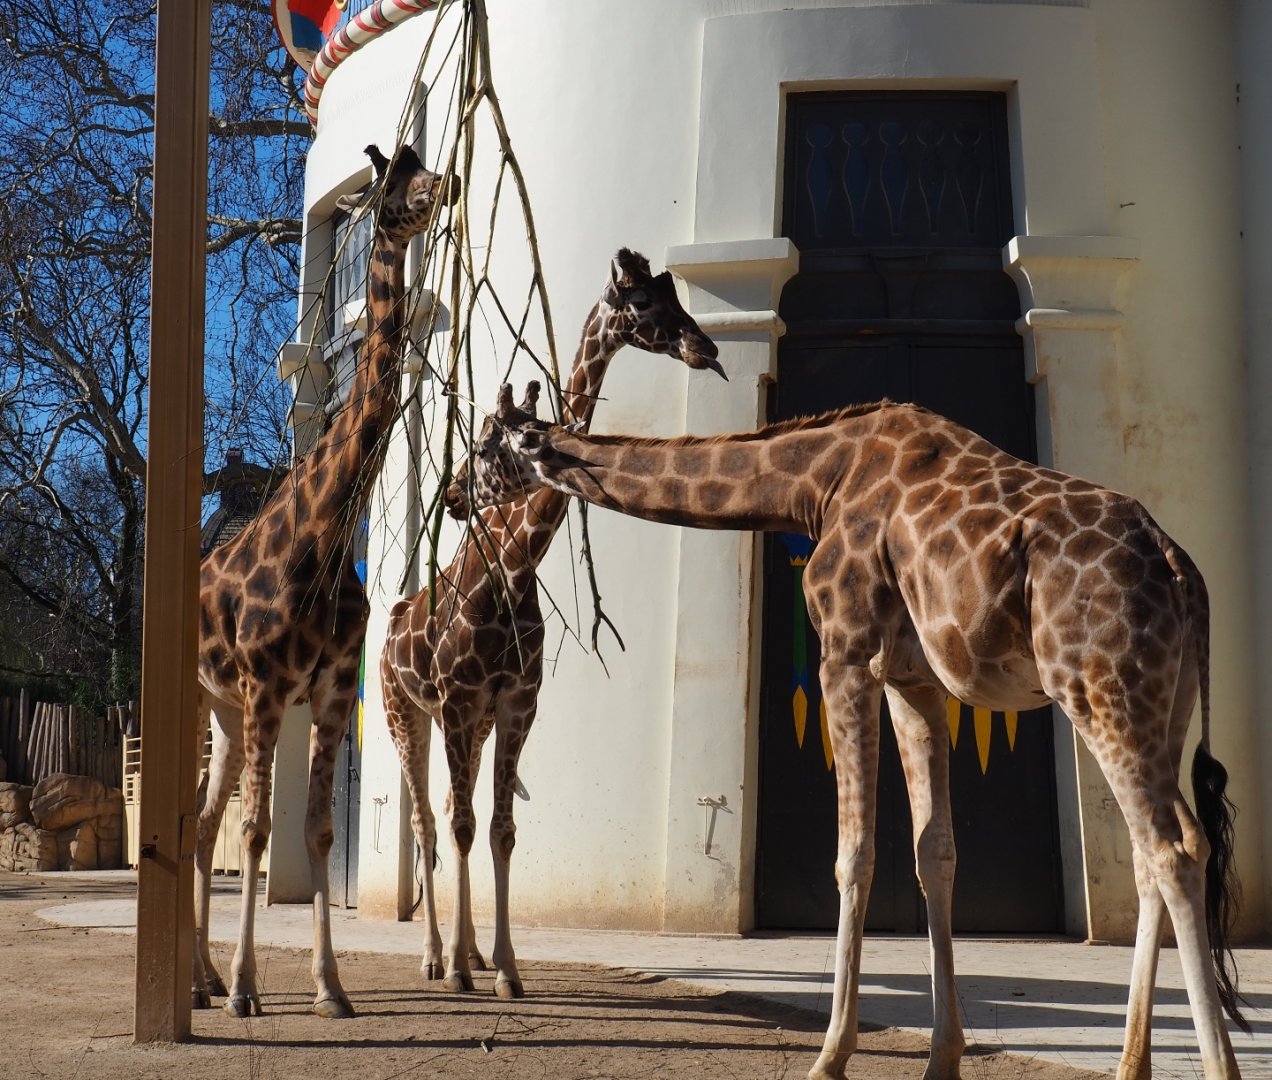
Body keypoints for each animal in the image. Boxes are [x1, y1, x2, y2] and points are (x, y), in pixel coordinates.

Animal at [192, 144, 455, 1019]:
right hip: (211, 701)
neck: (328, 530)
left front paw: (329, 987)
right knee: (210, 825)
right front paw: (249, 989)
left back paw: (200, 979)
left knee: (200, 827)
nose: (443, 189)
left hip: (227, 715)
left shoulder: (334, 685)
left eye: (424, 163)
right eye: (390, 183)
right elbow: (258, 835)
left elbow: (317, 831)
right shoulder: (270, 684)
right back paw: (212, 982)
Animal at [379, 250, 721, 999]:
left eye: (672, 295)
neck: (511, 568)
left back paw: (471, 953)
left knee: (452, 814)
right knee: (426, 821)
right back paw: (436, 957)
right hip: (404, 713)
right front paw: (460, 968)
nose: (704, 347)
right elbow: (463, 825)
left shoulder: (514, 702)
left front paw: (505, 968)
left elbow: (501, 829)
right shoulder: (456, 700)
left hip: (469, 723)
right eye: (643, 304)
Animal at [447, 385, 1248, 1080]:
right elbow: (934, 852)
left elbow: (854, 853)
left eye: (484, 444)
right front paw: (941, 1058)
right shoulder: (914, 679)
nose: (454, 498)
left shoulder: (846, 651)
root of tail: (1181, 569)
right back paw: (1133, 1065)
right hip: (1159, 702)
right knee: (1159, 850)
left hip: (1098, 685)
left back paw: (1214, 1065)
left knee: (1173, 850)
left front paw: (831, 1054)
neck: (816, 481)